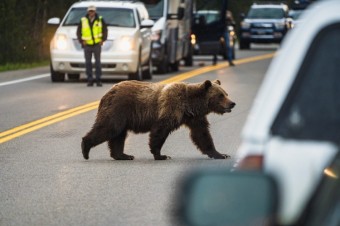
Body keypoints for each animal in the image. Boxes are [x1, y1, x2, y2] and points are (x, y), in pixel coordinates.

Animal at [82, 79, 235, 161]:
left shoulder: (195, 118)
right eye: (220, 95)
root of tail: (108, 92)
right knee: (109, 128)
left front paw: (221, 154)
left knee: (118, 135)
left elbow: (202, 135)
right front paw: (161, 155)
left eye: (226, 93)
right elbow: (160, 131)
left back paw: (123, 155)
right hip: (118, 109)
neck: (190, 105)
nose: (232, 103)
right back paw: (85, 149)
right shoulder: (170, 108)